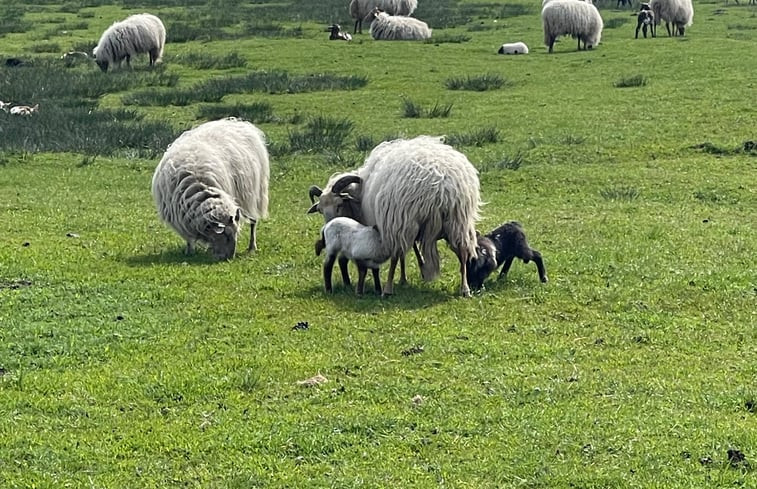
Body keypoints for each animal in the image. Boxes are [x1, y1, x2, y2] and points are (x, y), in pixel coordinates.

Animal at [151, 118, 268, 262]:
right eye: (226, 235)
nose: (229, 259)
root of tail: (238, 122)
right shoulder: (182, 218)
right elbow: (189, 238)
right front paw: (190, 251)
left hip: (255, 195)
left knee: (253, 222)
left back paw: (252, 247)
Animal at [306, 133, 478, 296]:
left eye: (339, 205)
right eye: (320, 210)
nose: (328, 229)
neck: (359, 195)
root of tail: (440, 184)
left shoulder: (393, 222)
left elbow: (400, 254)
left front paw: (402, 278)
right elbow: (410, 250)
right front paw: (406, 277)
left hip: (399, 218)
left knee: (395, 254)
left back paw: (387, 289)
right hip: (457, 219)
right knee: (463, 251)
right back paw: (465, 289)